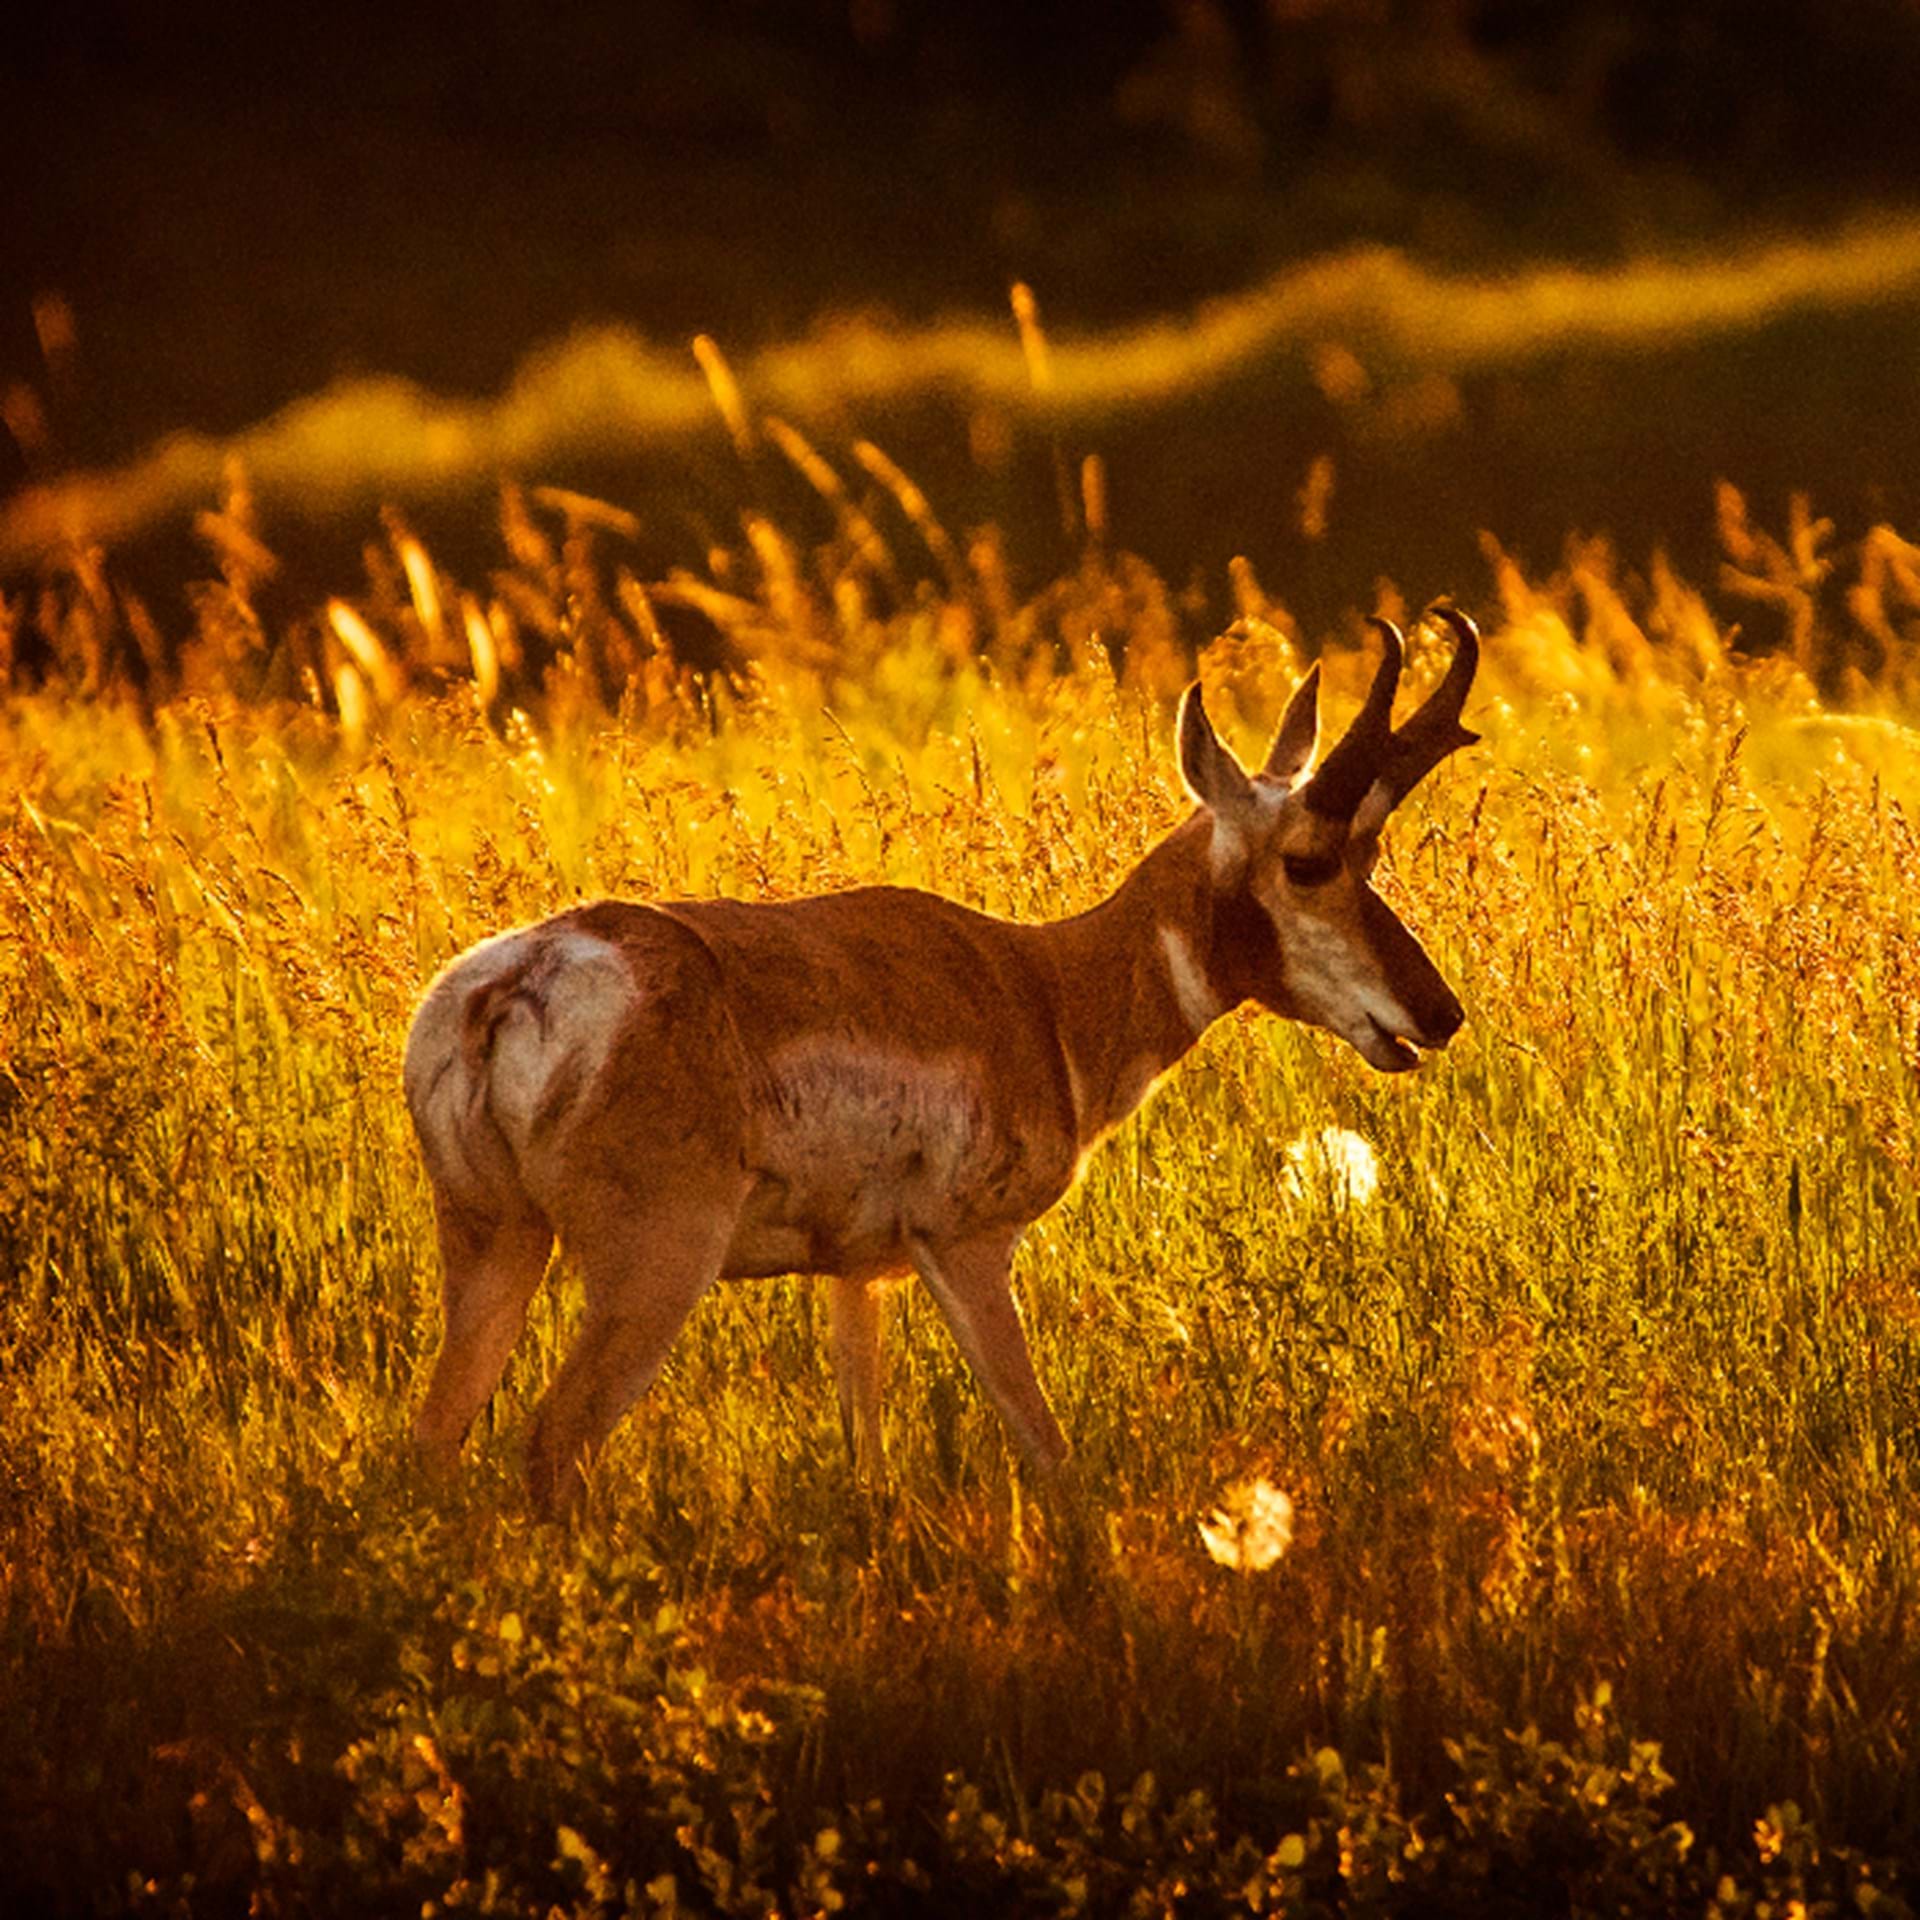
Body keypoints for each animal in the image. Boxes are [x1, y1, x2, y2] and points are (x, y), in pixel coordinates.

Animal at [404, 607, 1481, 1514]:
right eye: (1309, 861)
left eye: (1371, 853)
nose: (1440, 1012)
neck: (1040, 988)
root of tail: (516, 981)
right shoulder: (966, 1245)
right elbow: (1049, 1452)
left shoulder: (857, 1278)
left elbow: (868, 1463)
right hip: (653, 1265)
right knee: (552, 1443)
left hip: (495, 1245)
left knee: (432, 1440)